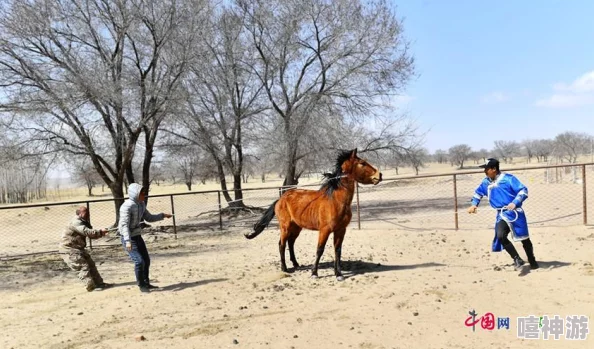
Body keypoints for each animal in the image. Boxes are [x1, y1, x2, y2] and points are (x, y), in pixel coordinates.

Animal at [243, 147, 382, 280]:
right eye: (362, 163)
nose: (379, 175)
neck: (335, 201)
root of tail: (280, 199)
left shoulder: (341, 230)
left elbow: (338, 250)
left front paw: (338, 274)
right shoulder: (324, 230)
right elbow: (320, 249)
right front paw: (314, 273)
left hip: (296, 227)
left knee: (291, 243)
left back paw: (296, 264)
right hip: (285, 227)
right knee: (282, 244)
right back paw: (285, 268)